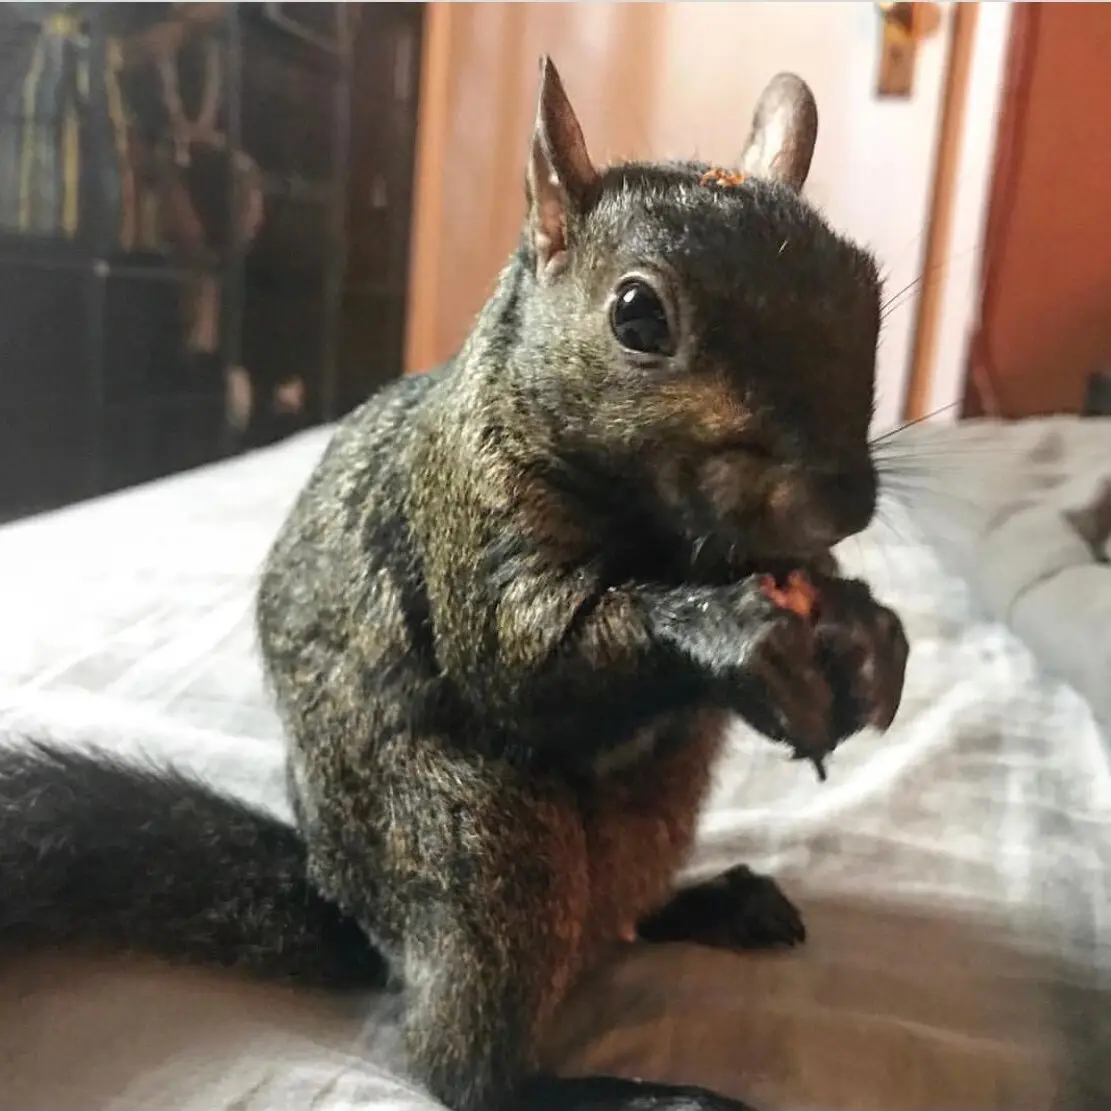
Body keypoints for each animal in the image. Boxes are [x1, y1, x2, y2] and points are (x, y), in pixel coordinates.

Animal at [0, 59, 908, 1111]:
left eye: (867, 288)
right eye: (637, 315)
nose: (833, 500)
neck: (667, 536)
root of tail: (365, 923)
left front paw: (863, 628)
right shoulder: (465, 519)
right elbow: (522, 664)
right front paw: (732, 631)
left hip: (651, 815)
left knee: (616, 919)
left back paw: (708, 902)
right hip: (478, 843)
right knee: (463, 1068)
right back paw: (625, 1089)